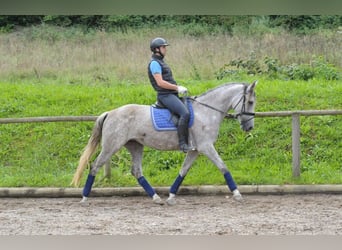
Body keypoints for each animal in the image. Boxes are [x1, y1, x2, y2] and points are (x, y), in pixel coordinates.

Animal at [71, 81, 256, 205]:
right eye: (250, 102)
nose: (249, 127)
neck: (206, 111)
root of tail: (109, 113)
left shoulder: (194, 150)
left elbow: (183, 171)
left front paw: (171, 196)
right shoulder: (206, 147)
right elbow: (223, 167)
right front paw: (237, 194)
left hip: (135, 145)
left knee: (136, 171)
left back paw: (156, 198)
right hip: (111, 146)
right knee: (95, 166)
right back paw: (84, 198)